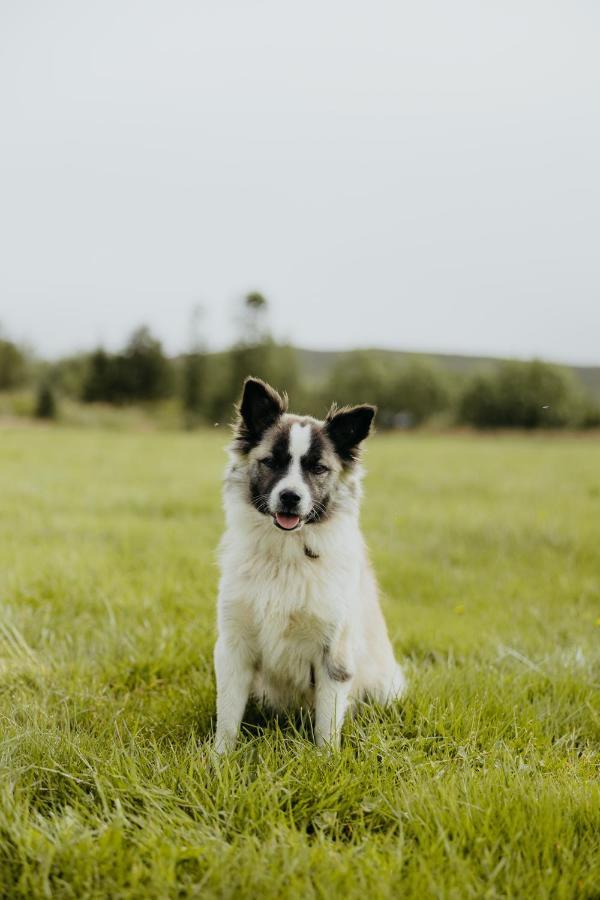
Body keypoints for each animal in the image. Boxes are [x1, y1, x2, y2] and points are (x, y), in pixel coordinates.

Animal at [213, 374, 406, 752]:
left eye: (318, 468)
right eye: (271, 461)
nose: (290, 497)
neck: (286, 557)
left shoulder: (334, 654)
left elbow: (327, 724)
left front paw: (325, 759)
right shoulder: (234, 646)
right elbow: (227, 718)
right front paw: (218, 759)